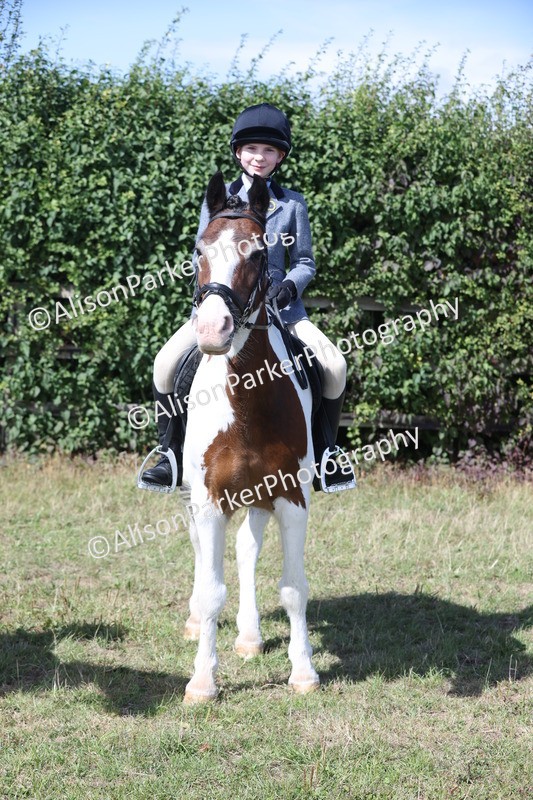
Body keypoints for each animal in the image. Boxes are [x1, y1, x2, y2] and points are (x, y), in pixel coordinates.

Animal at [180, 171, 320, 704]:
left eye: (259, 254)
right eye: (199, 250)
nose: (213, 329)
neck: (246, 403)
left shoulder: (290, 496)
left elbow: (294, 587)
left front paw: (304, 672)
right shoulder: (208, 498)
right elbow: (211, 588)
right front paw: (202, 681)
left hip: (258, 496)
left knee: (246, 549)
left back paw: (249, 635)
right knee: (203, 555)